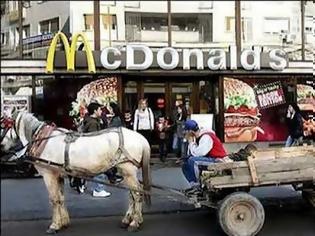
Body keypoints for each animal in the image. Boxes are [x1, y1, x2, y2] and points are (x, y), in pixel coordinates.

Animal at [0, 111, 152, 233]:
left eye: (5, 125)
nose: (1, 146)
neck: (42, 140)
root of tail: (140, 138)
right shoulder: (58, 176)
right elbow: (61, 198)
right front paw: (63, 222)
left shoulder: (49, 175)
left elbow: (54, 199)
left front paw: (54, 225)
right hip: (126, 172)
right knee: (132, 195)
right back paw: (128, 220)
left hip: (128, 171)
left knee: (137, 194)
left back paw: (134, 223)